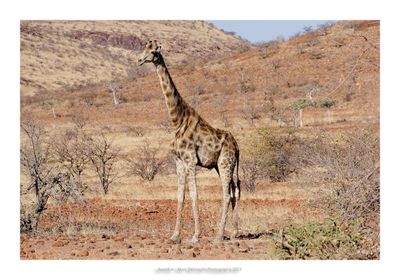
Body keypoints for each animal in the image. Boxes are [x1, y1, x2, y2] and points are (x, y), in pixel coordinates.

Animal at [138, 40, 241, 244]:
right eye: (144, 48)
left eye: (153, 52)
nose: (140, 60)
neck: (177, 120)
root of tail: (238, 147)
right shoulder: (178, 161)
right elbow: (180, 195)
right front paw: (175, 236)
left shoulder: (190, 160)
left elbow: (194, 193)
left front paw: (195, 236)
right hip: (221, 165)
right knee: (233, 191)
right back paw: (234, 233)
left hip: (225, 163)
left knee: (226, 194)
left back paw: (219, 236)